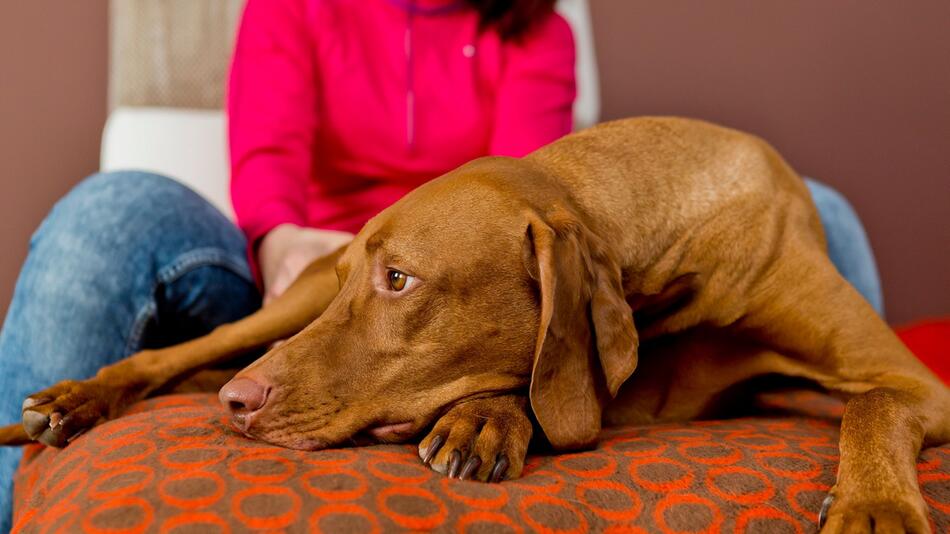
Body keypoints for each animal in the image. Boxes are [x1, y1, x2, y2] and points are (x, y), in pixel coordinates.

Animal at [1, 118, 950, 534]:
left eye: (399, 280)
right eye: (363, 279)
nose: (238, 406)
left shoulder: (912, 384)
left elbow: (871, 403)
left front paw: (874, 505)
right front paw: (485, 419)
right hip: (287, 305)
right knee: (180, 355)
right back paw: (74, 402)